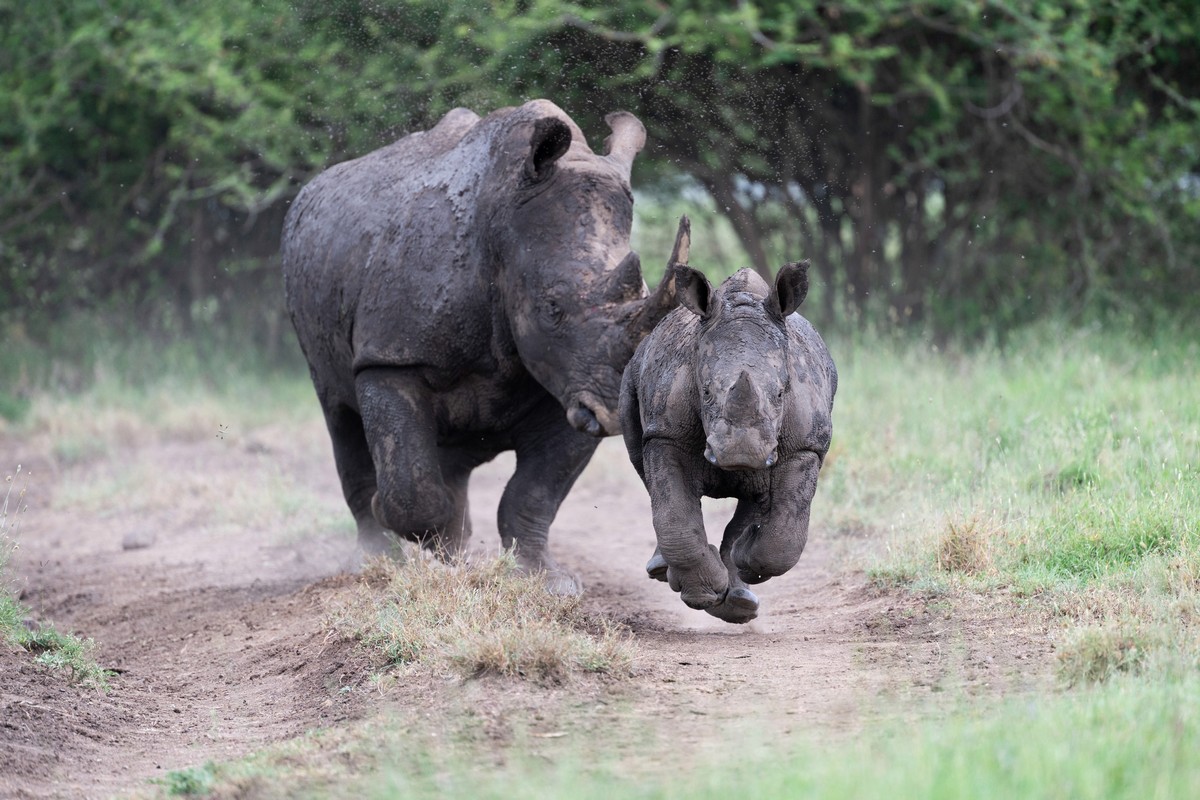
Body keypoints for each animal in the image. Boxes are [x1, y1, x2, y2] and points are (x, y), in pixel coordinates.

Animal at [619, 262, 835, 623]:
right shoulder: (666, 433)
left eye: (781, 393)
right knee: (643, 468)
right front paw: (701, 592)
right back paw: (670, 572)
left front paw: (747, 558)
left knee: (757, 500)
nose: (741, 452)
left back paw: (740, 600)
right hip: (632, 378)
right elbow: (674, 515)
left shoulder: (805, 445)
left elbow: (787, 528)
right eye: (705, 391)